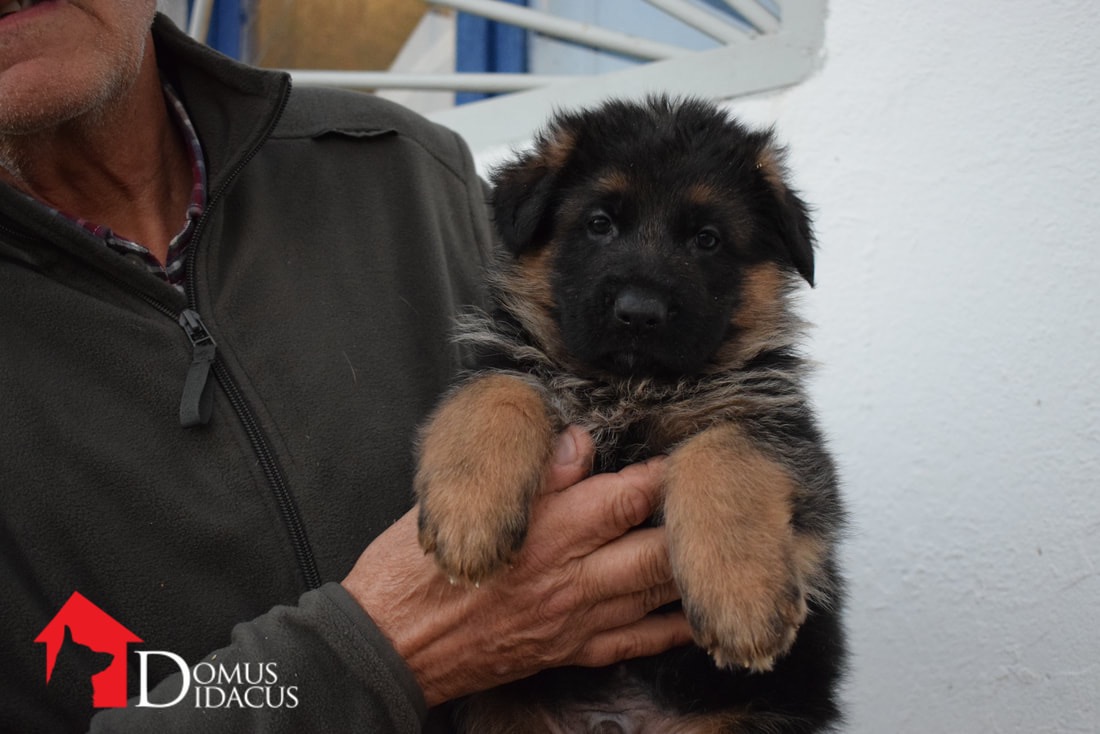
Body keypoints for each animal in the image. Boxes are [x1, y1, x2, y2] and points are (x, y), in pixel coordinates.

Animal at [413, 99, 840, 734]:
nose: (639, 313)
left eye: (707, 239)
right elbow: (499, 390)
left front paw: (741, 597)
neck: (629, 386)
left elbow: (722, 451)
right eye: (599, 224)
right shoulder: (508, 359)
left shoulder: (783, 434)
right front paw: (469, 516)